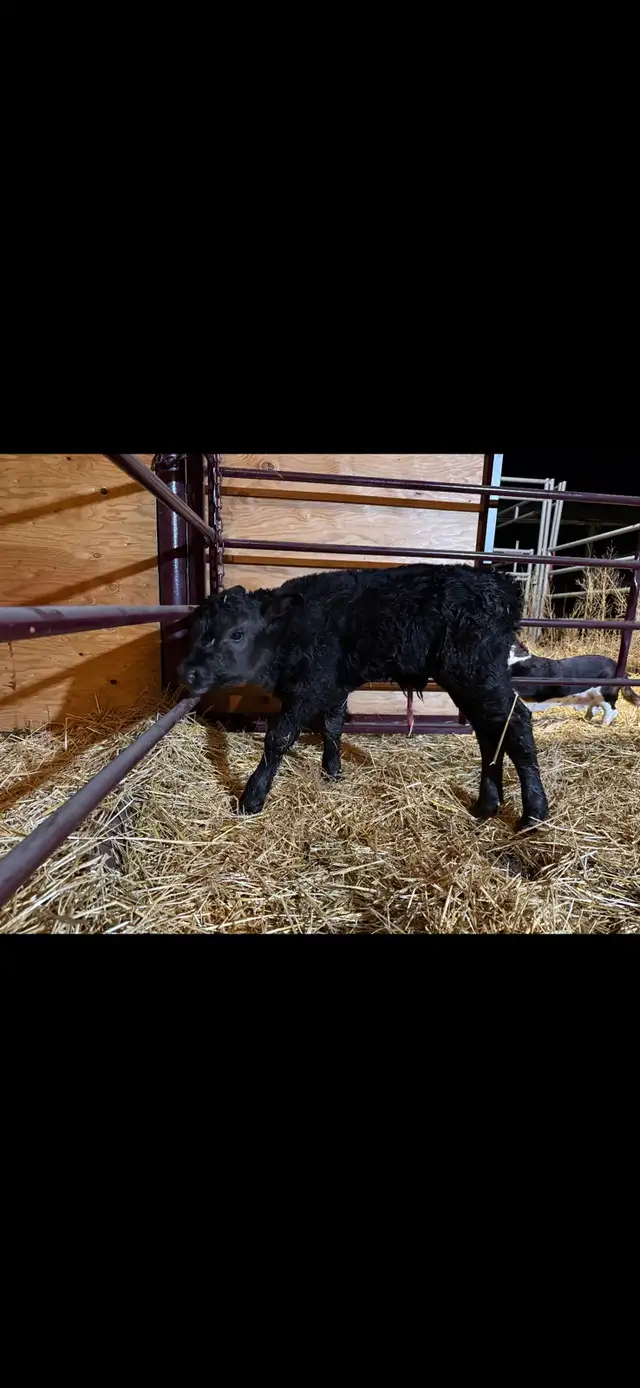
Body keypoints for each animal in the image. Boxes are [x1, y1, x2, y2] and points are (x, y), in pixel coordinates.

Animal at [178, 565, 550, 829]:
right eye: (196, 630)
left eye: (237, 634)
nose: (188, 672)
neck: (291, 630)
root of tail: (500, 584)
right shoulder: (335, 685)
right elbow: (333, 725)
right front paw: (332, 773)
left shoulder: (309, 686)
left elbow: (278, 738)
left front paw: (252, 797)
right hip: (472, 680)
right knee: (490, 732)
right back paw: (486, 805)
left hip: (475, 672)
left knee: (516, 722)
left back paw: (534, 814)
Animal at [508, 637, 640, 726]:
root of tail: (616, 666)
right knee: (594, 709)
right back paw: (585, 719)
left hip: (603, 694)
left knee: (611, 711)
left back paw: (603, 725)